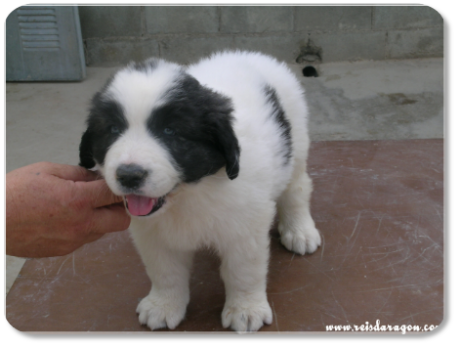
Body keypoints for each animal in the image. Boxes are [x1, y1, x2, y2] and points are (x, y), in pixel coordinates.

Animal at [79, 51, 322, 332]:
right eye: (113, 130)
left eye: (170, 131)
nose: (129, 175)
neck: (188, 193)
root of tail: (253, 54)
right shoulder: (152, 233)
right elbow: (164, 270)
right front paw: (164, 306)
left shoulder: (246, 225)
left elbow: (244, 270)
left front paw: (246, 310)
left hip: (296, 145)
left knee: (297, 188)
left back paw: (300, 231)